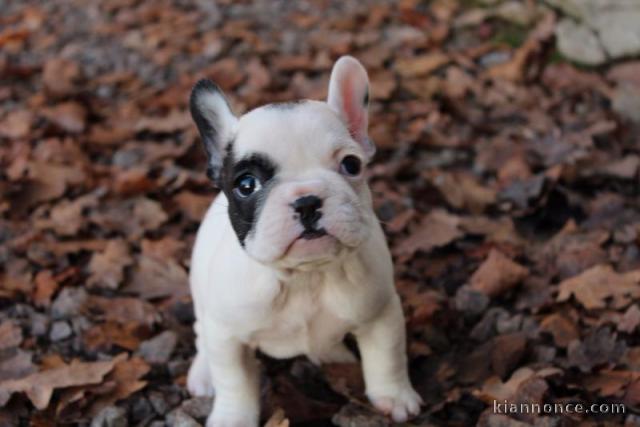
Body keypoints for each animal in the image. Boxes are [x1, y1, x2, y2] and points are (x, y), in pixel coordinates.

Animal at [188, 56, 422, 427]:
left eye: (351, 164)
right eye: (246, 184)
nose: (307, 200)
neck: (306, 276)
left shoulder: (381, 312)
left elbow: (388, 356)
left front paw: (394, 397)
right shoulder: (227, 336)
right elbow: (235, 381)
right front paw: (232, 417)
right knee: (201, 335)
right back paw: (203, 374)